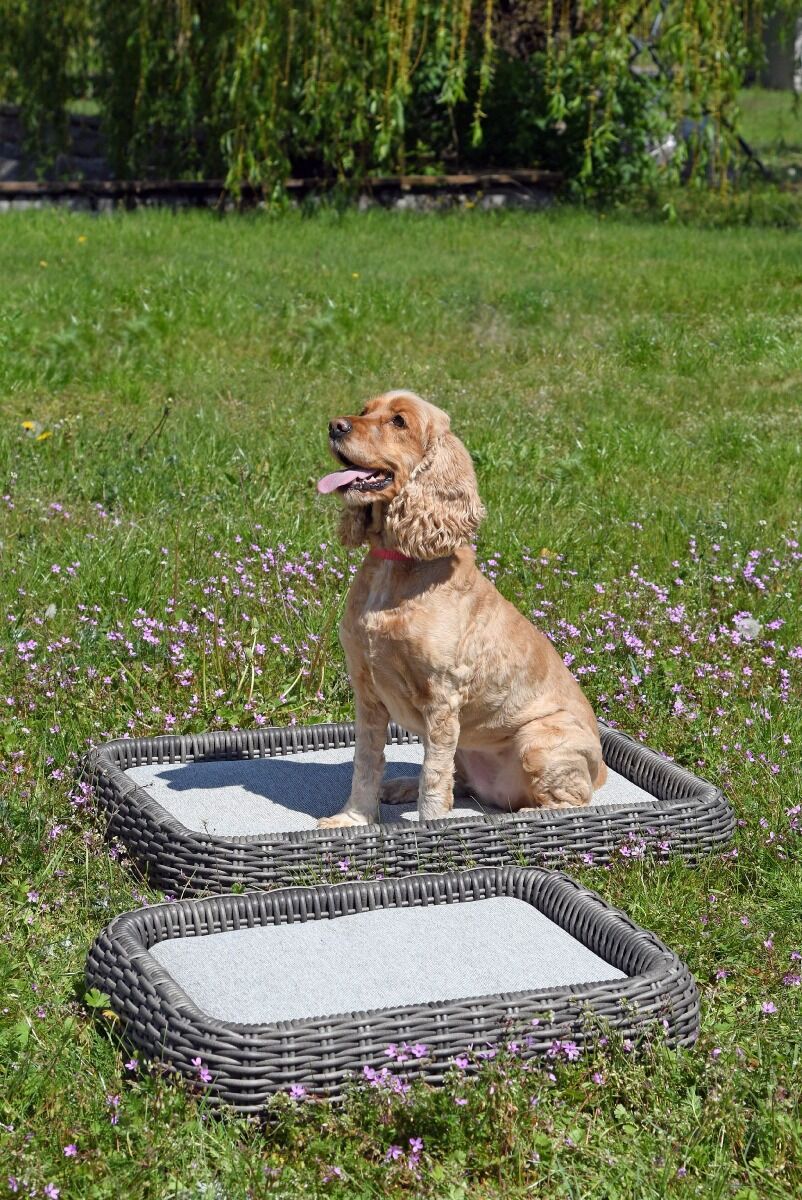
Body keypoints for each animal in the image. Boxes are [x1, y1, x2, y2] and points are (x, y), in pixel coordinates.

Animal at [316, 391, 605, 825]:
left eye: (399, 421)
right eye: (365, 410)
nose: (336, 425)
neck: (395, 563)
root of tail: (602, 769)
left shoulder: (443, 697)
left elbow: (434, 779)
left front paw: (431, 829)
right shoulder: (366, 691)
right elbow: (366, 763)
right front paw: (353, 820)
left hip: (538, 740)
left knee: (572, 802)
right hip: (468, 748)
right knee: (461, 781)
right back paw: (400, 787)